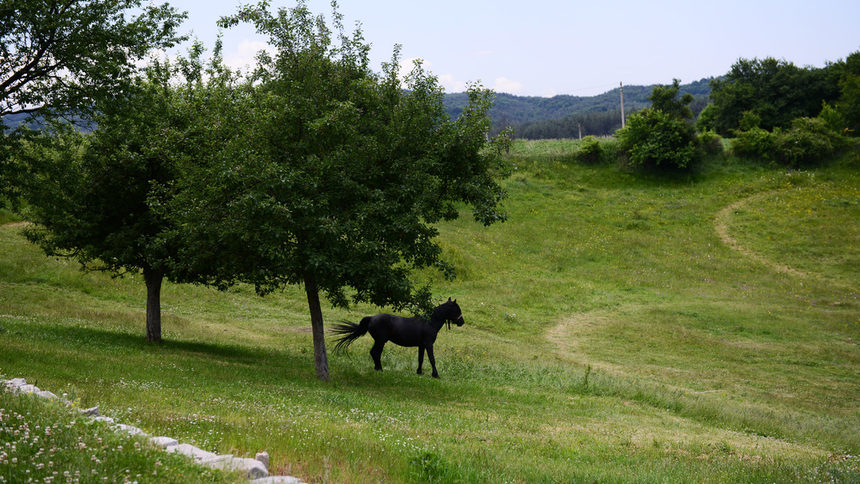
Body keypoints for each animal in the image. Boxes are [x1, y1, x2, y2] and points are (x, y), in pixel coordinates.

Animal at [330, 298, 464, 378]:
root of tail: (372, 318)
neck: (429, 322)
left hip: (379, 341)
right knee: (375, 353)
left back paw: (377, 368)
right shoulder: (428, 344)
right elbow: (432, 359)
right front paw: (435, 375)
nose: (462, 322)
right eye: (457, 309)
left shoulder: (421, 345)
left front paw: (419, 372)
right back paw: (379, 369)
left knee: (374, 353)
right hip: (380, 341)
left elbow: (420, 359)